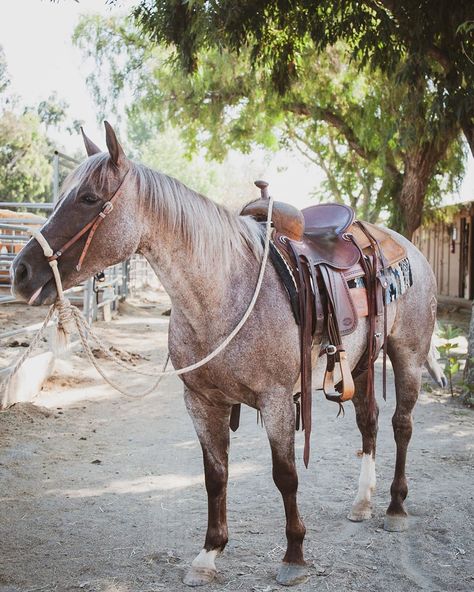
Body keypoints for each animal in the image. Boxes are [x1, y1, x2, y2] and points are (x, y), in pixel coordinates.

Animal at [10, 122, 444, 584]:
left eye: (89, 198)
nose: (20, 272)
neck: (221, 293)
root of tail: (403, 246)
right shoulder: (202, 402)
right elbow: (215, 476)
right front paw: (208, 554)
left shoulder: (277, 401)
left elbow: (285, 476)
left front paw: (294, 556)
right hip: (361, 362)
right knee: (369, 422)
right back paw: (362, 501)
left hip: (407, 354)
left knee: (401, 425)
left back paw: (395, 507)